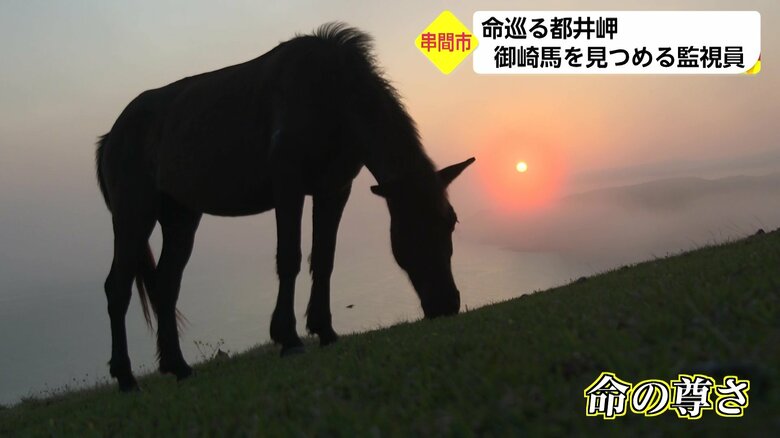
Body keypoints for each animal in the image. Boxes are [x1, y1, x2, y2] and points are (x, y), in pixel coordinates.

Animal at [95, 23, 474, 392]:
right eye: (416, 227)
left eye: (451, 222)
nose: (447, 304)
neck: (330, 93)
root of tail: (111, 136)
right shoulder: (288, 186)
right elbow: (289, 257)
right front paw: (288, 338)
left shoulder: (334, 190)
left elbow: (324, 258)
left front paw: (324, 329)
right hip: (134, 214)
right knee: (118, 287)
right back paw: (126, 376)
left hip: (180, 217)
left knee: (166, 284)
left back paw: (178, 366)